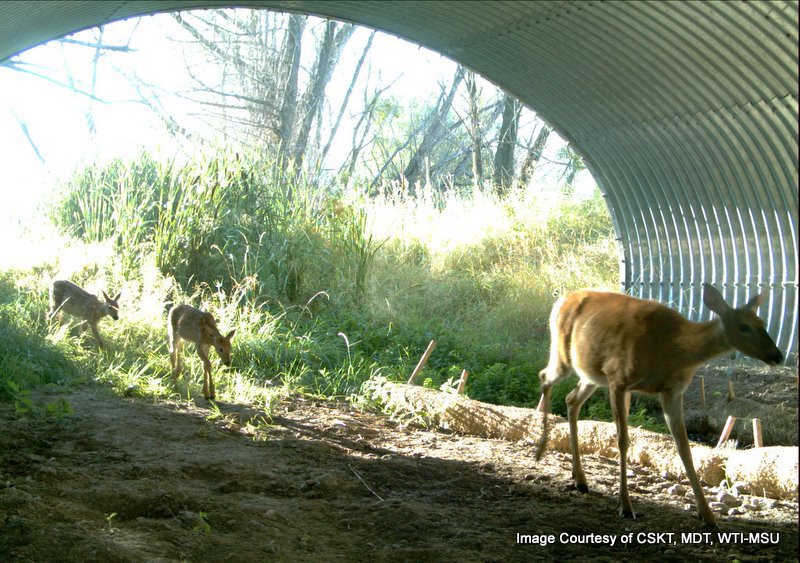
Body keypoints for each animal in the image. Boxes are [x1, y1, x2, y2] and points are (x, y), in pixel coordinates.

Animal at [532, 286, 780, 528]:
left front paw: (707, 515)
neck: (675, 351)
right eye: (744, 326)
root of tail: (561, 300)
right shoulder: (618, 377)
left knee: (571, 400)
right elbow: (623, 441)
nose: (777, 355)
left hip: (591, 374)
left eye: (763, 323)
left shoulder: (672, 392)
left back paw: (580, 479)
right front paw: (625, 506)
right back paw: (540, 449)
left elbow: (684, 448)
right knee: (544, 376)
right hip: (564, 357)